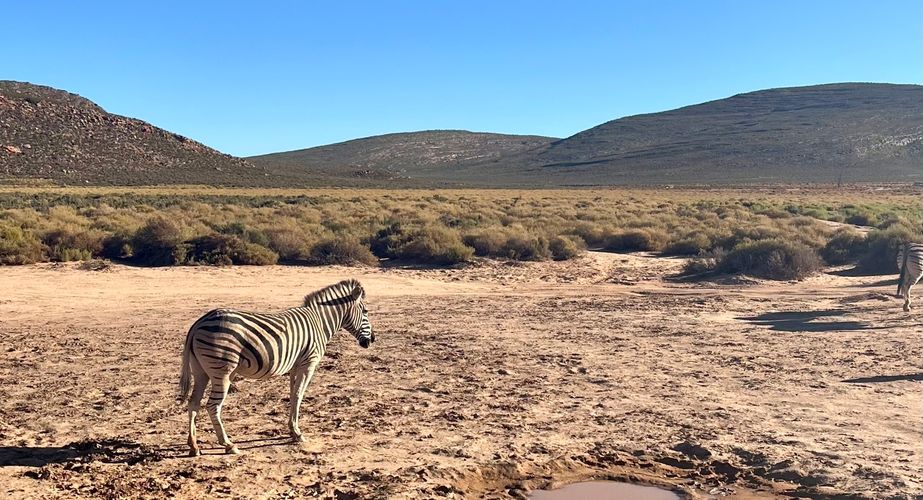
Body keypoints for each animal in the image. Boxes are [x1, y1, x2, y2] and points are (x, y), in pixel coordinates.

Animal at [177, 278, 374, 456]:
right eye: (365, 311)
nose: (372, 340)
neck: (319, 321)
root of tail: (198, 323)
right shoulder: (308, 363)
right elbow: (299, 395)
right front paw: (297, 433)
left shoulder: (295, 366)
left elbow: (293, 395)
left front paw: (292, 430)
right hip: (222, 371)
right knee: (212, 406)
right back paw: (228, 444)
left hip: (201, 371)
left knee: (193, 403)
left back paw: (194, 446)